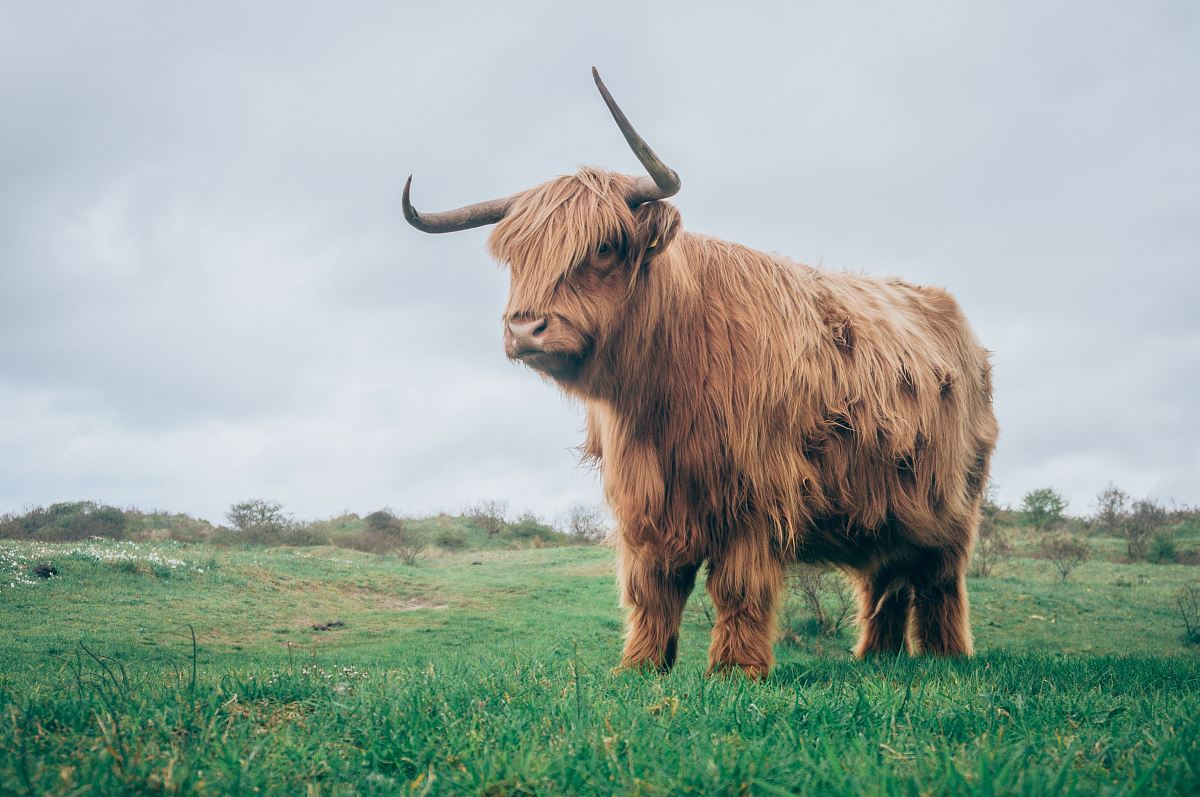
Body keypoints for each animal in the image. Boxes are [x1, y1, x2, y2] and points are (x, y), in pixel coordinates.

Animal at [408, 69, 998, 676]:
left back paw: (946, 657)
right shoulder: (644, 503)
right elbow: (653, 588)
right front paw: (641, 666)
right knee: (885, 579)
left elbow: (737, 588)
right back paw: (875, 658)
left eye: (603, 247)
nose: (525, 329)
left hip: (953, 505)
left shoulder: (755, 495)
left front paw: (735, 670)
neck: (661, 393)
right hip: (886, 510)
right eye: (517, 258)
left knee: (938, 580)